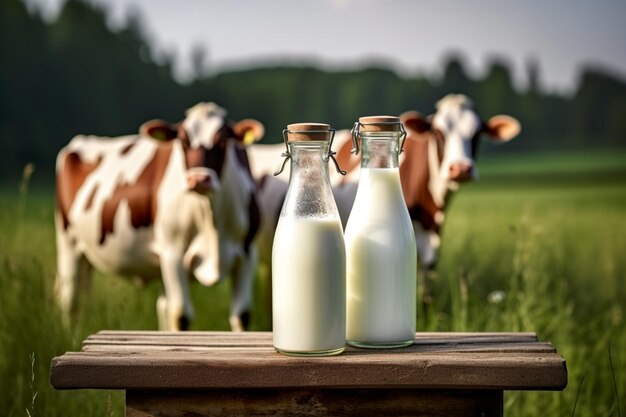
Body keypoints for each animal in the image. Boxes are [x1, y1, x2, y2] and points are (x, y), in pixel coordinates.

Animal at [53, 102, 264, 330]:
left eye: (223, 139)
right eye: (183, 140)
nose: (199, 179)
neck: (211, 219)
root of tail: (82, 140)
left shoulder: (247, 254)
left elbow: (242, 316)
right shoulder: (173, 253)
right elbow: (180, 316)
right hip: (68, 244)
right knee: (70, 301)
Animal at [246, 93, 520, 302]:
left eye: (477, 134)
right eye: (438, 133)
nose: (461, 169)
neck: (431, 211)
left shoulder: (430, 251)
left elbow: (426, 299)